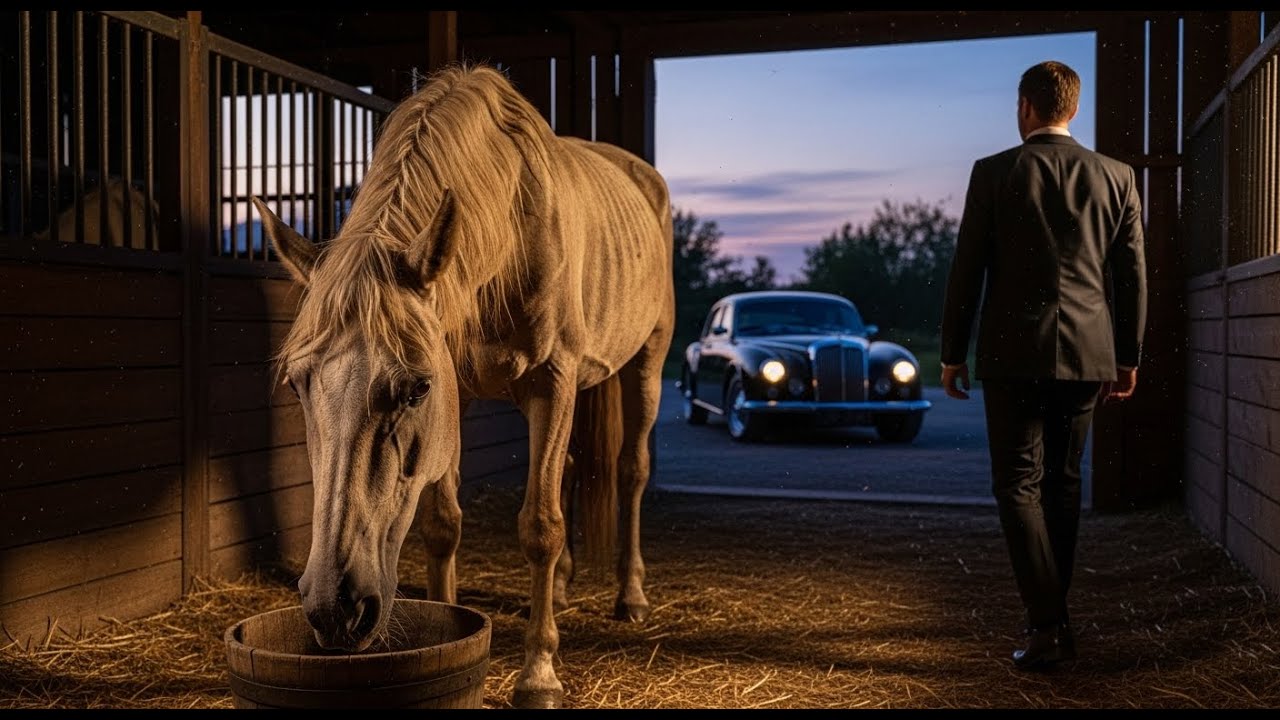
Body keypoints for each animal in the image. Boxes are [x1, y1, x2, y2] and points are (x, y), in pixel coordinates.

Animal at [251, 62, 675, 709]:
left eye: (416, 388)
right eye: (297, 384)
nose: (333, 610)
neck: (509, 226)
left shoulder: (550, 382)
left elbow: (540, 525)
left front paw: (538, 673)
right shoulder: (464, 394)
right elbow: (443, 525)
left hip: (646, 362)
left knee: (631, 470)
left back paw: (629, 595)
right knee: (571, 467)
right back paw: (564, 587)